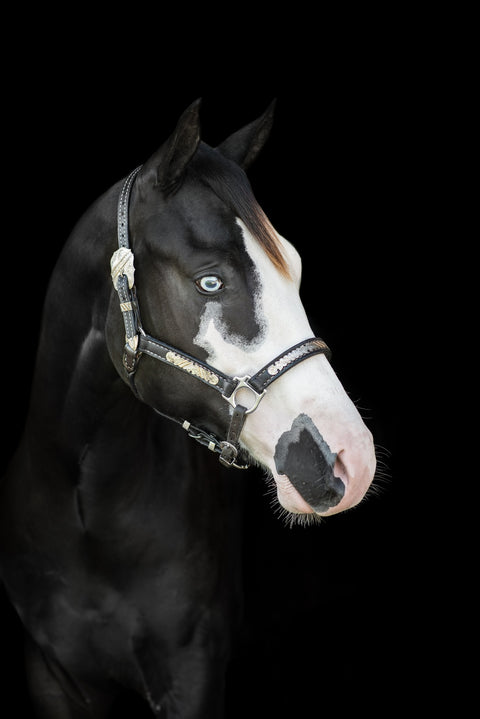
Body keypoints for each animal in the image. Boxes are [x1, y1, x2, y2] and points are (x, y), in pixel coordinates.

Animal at [0, 99, 376, 718]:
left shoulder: (192, 673)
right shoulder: (52, 674)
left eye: (294, 270)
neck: (88, 513)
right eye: (210, 282)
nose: (351, 458)